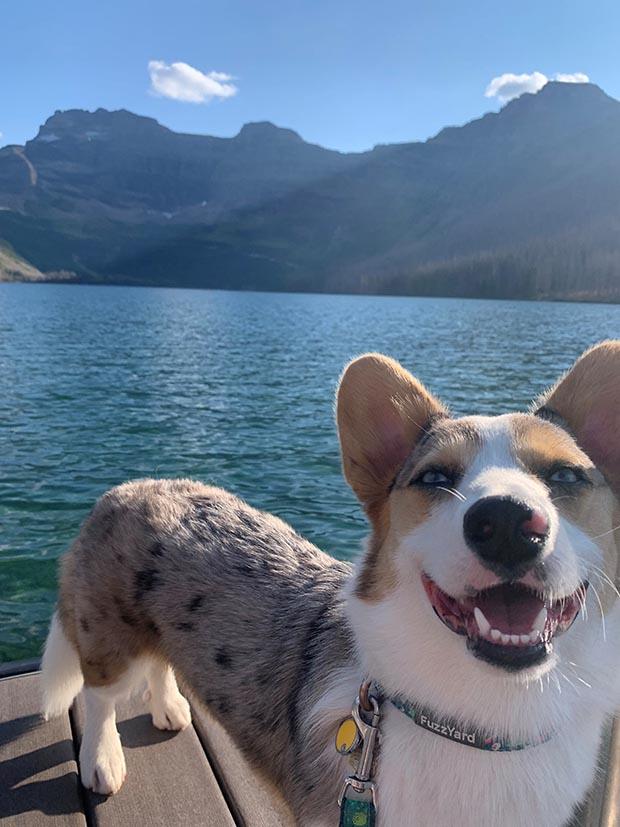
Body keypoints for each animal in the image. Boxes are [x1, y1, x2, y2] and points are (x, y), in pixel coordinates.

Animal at [41, 340, 616, 824]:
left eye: (566, 475)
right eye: (434, 478)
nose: (509, 524)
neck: (484, 718)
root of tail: (128, 488)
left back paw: (169, 709)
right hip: (107, 633)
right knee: (99, 694)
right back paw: (102, 759)